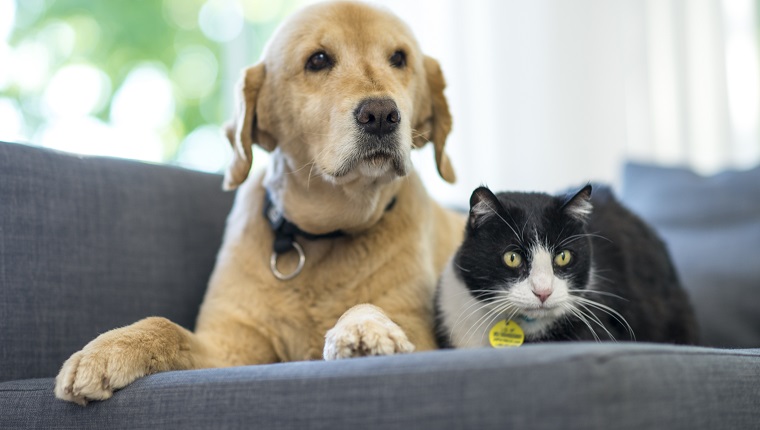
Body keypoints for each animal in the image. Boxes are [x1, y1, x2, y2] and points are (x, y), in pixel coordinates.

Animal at [53, 0, 464, 404]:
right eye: (317, 60)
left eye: (399, 58)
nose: (381, 115)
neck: (324, 235)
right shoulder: (229, 348)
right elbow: (164, 325)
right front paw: (106, 349)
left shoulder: (421, 336)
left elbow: (370, 308)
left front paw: (364, 327)